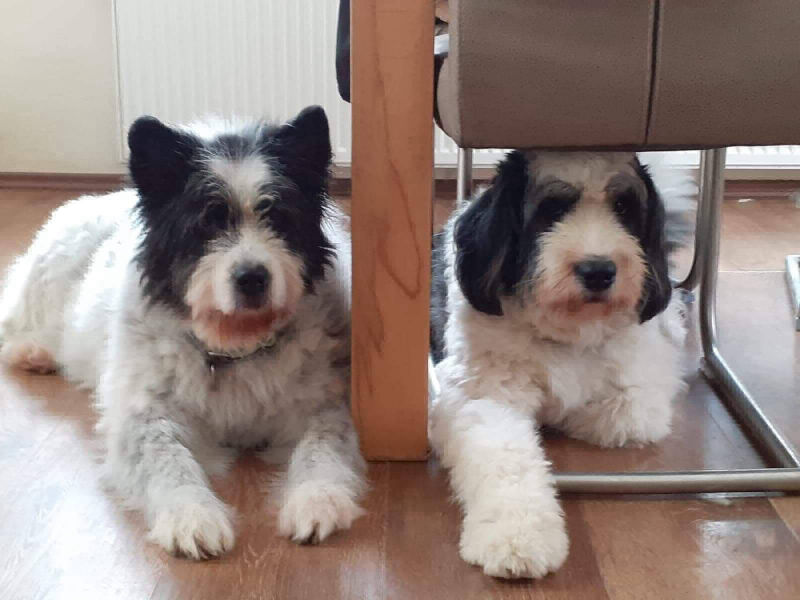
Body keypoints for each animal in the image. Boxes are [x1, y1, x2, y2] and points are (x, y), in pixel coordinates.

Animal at [0, 106, 366, 559]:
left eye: (277, 217)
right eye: (206, 223)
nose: (252, 278)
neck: (232, 344)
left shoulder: (322, 405)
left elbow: (322, 448)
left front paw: (317, 499)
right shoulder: (143, 416)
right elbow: (169, 462)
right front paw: (191, 515)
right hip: (48, 274)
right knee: (13, 317)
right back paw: (33, 352)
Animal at [429, 151, 693, 578]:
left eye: (623, 208)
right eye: (551, 209)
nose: (599, 271)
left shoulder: (634, 398)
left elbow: (614, 414)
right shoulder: (483, 395)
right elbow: (507, 455)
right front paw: (517, 537)